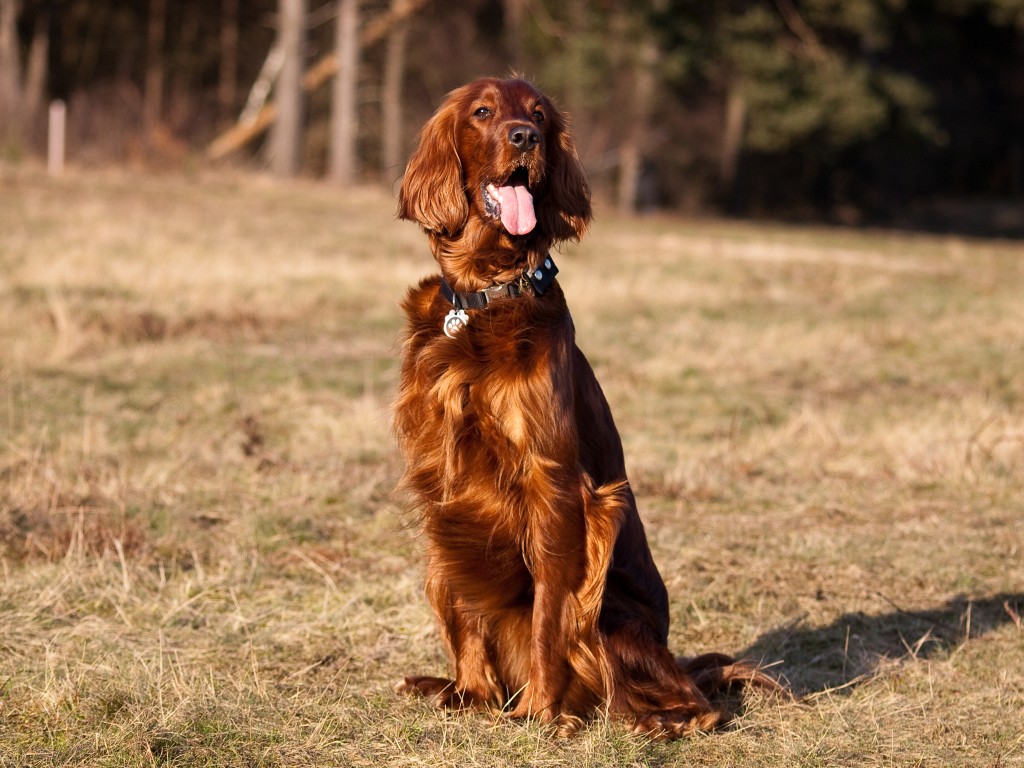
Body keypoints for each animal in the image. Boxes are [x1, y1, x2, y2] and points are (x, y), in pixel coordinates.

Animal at [391, 78, 774, 741]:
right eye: (483, 112)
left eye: (539, 114)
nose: (526, 138)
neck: (488, 295)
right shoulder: (444, 479)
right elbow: (466, 604)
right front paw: (472, 695)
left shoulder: (555, 486)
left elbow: (551, 610)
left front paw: (543, 712)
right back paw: (447, 686)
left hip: (619, 613)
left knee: (698, 703)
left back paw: (647, 719)